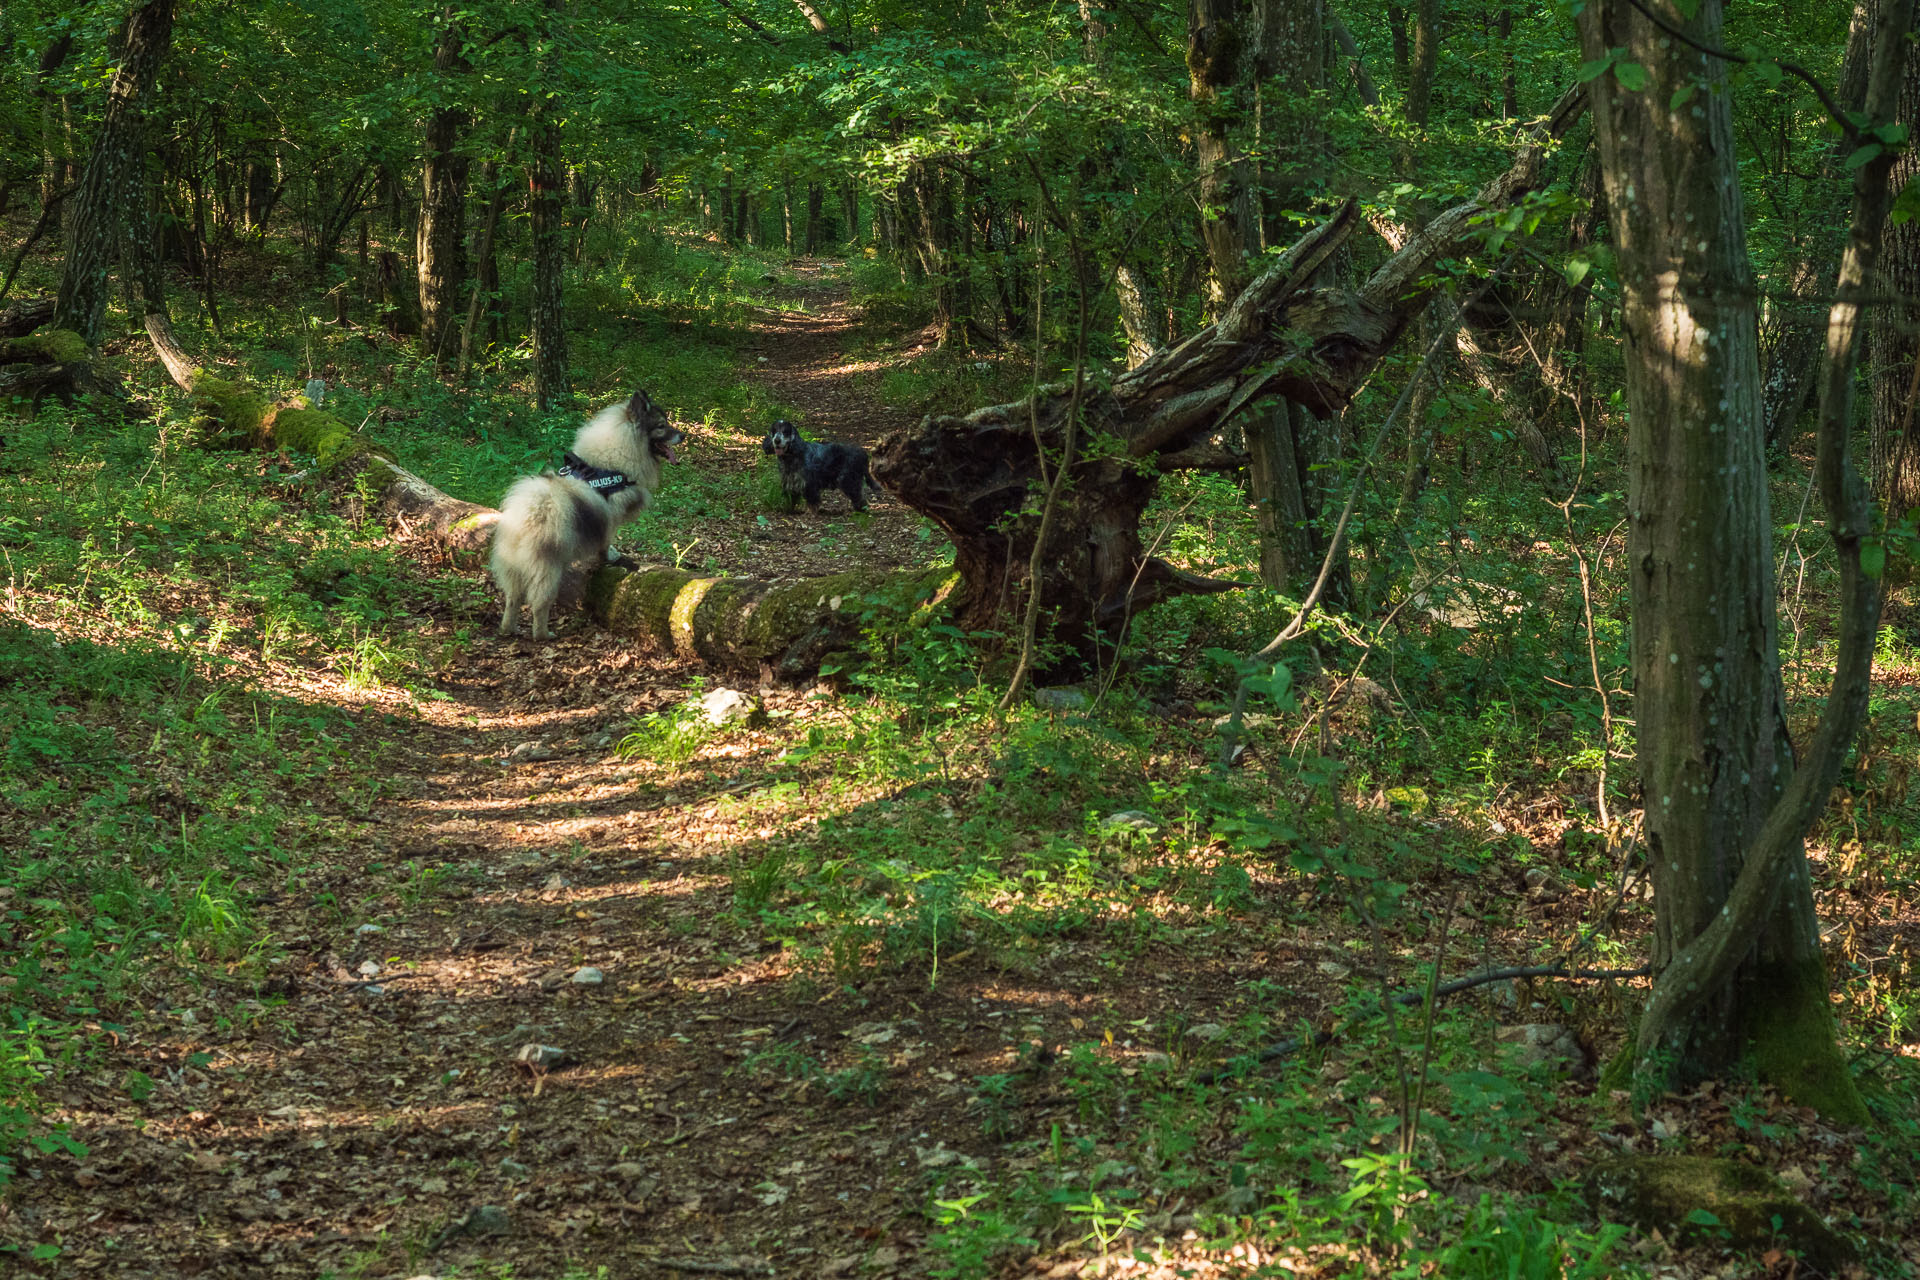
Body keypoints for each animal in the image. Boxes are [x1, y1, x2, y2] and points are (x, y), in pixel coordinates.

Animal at [487, 385, 683, 637]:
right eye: (661, 426)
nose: (683, 435)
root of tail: (527, 514)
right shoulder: (611, 516)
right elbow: (607, 540)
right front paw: (610, 557)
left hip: (512, 567)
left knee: (512, 599)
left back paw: (508, 629)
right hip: (548, 568)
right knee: (539, 604)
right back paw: (543, 634)